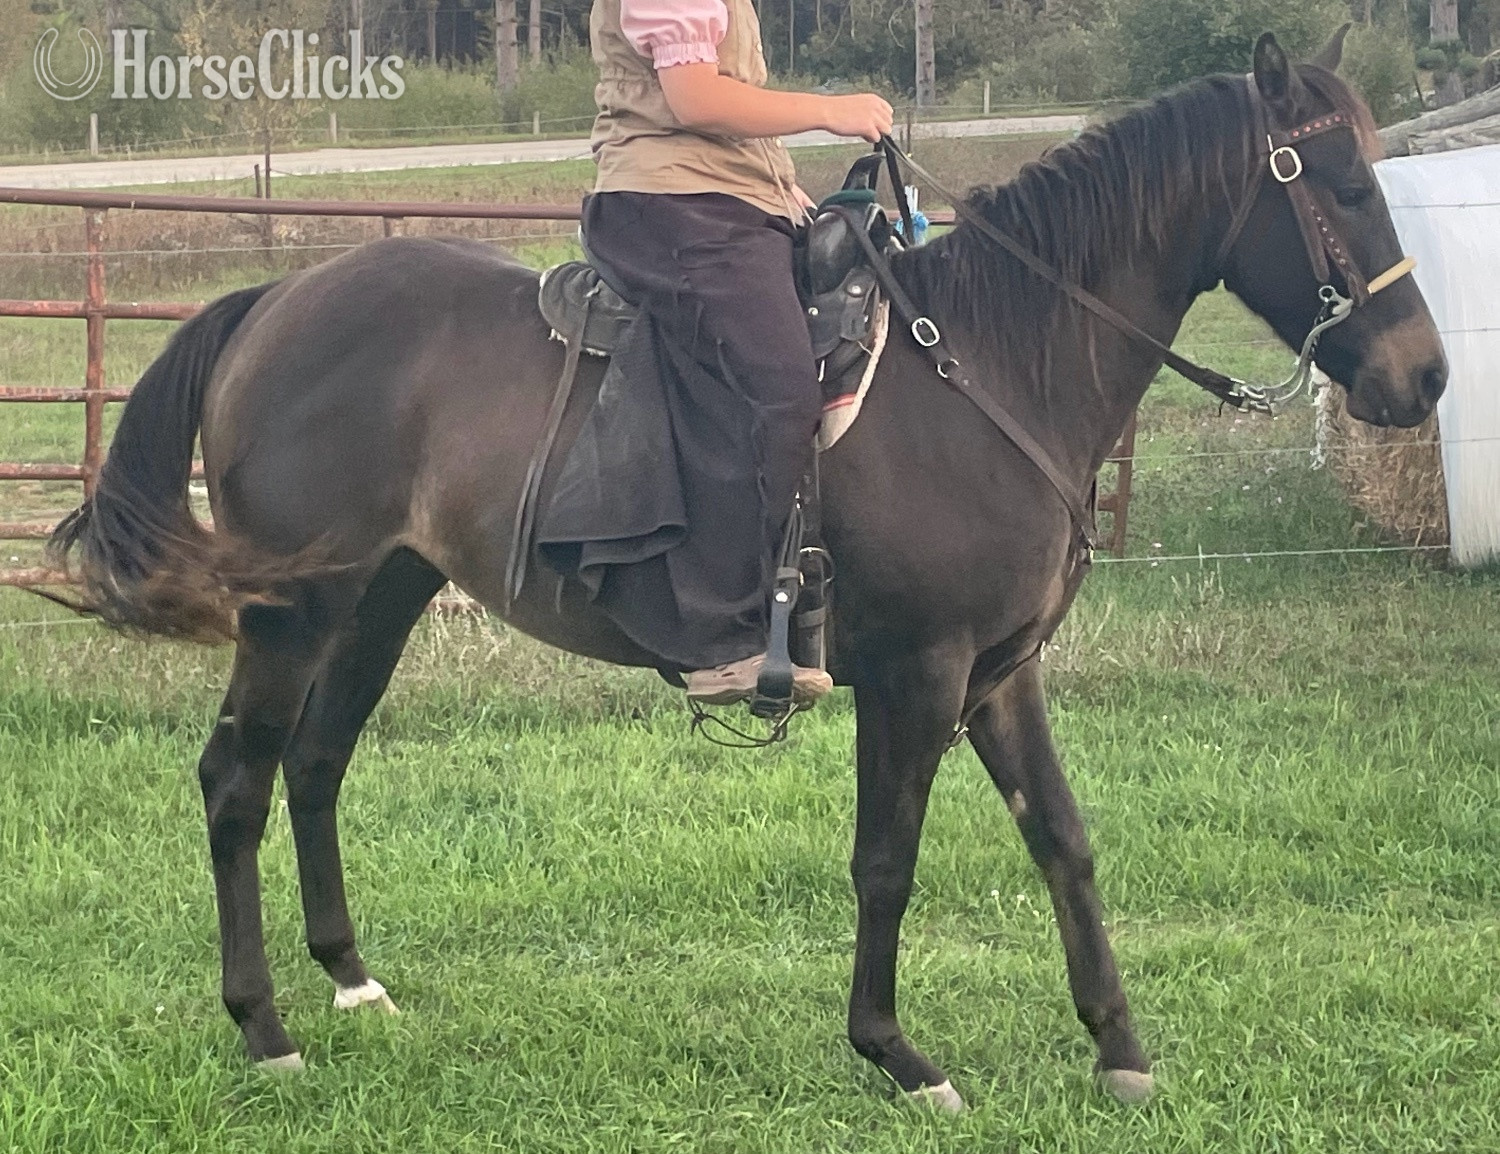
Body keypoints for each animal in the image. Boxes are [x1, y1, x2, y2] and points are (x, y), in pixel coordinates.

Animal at [48, 33, 1446, 1111]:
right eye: (1337, 182)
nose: (1424, 378)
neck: (988, 361)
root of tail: (275, 298)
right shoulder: (919, 675)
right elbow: (886, 860)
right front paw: (898, 1054)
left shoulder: (1002, 673)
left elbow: (1063, 837)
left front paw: (1119, 1046)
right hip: (292, 613)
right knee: (236, 779)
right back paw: (265, 1028)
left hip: (380, 595)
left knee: (317, 761)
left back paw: (351, 979)